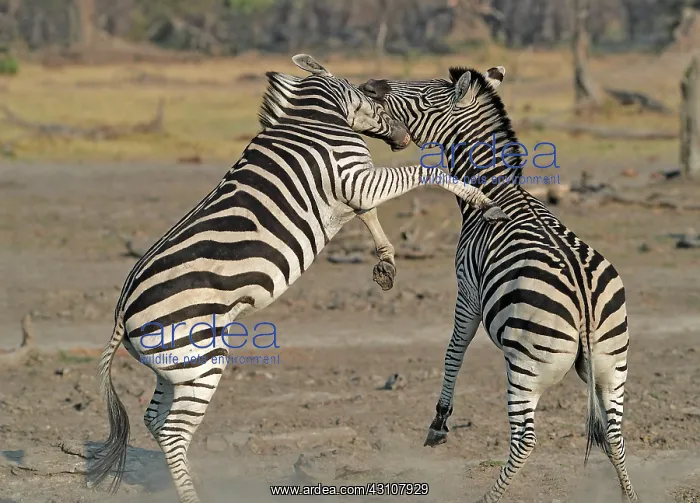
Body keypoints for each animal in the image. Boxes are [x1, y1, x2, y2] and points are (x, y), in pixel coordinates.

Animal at [86, 54, 510, 503]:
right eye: (374, 102)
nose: (402, 138)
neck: (317, 117)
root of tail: (120, 312)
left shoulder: (355, 190)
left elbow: (369, 214)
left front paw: (386, 261)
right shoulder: (356, 178)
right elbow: (425, 175)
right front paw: (484, 202)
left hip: (175, 368)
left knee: (155, 421)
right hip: (201, 361)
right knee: (173, 430)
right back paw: (193, 494)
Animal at [359, 67, 639, 502]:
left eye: (421, 95)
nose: (369, 85)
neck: (493, 191)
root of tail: (585, 303)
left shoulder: (467, 291)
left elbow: (453, 351)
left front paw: (439, 423)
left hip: (526, 368)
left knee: (525, 441)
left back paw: (489, 497)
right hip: (613, 366)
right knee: (615, 436)